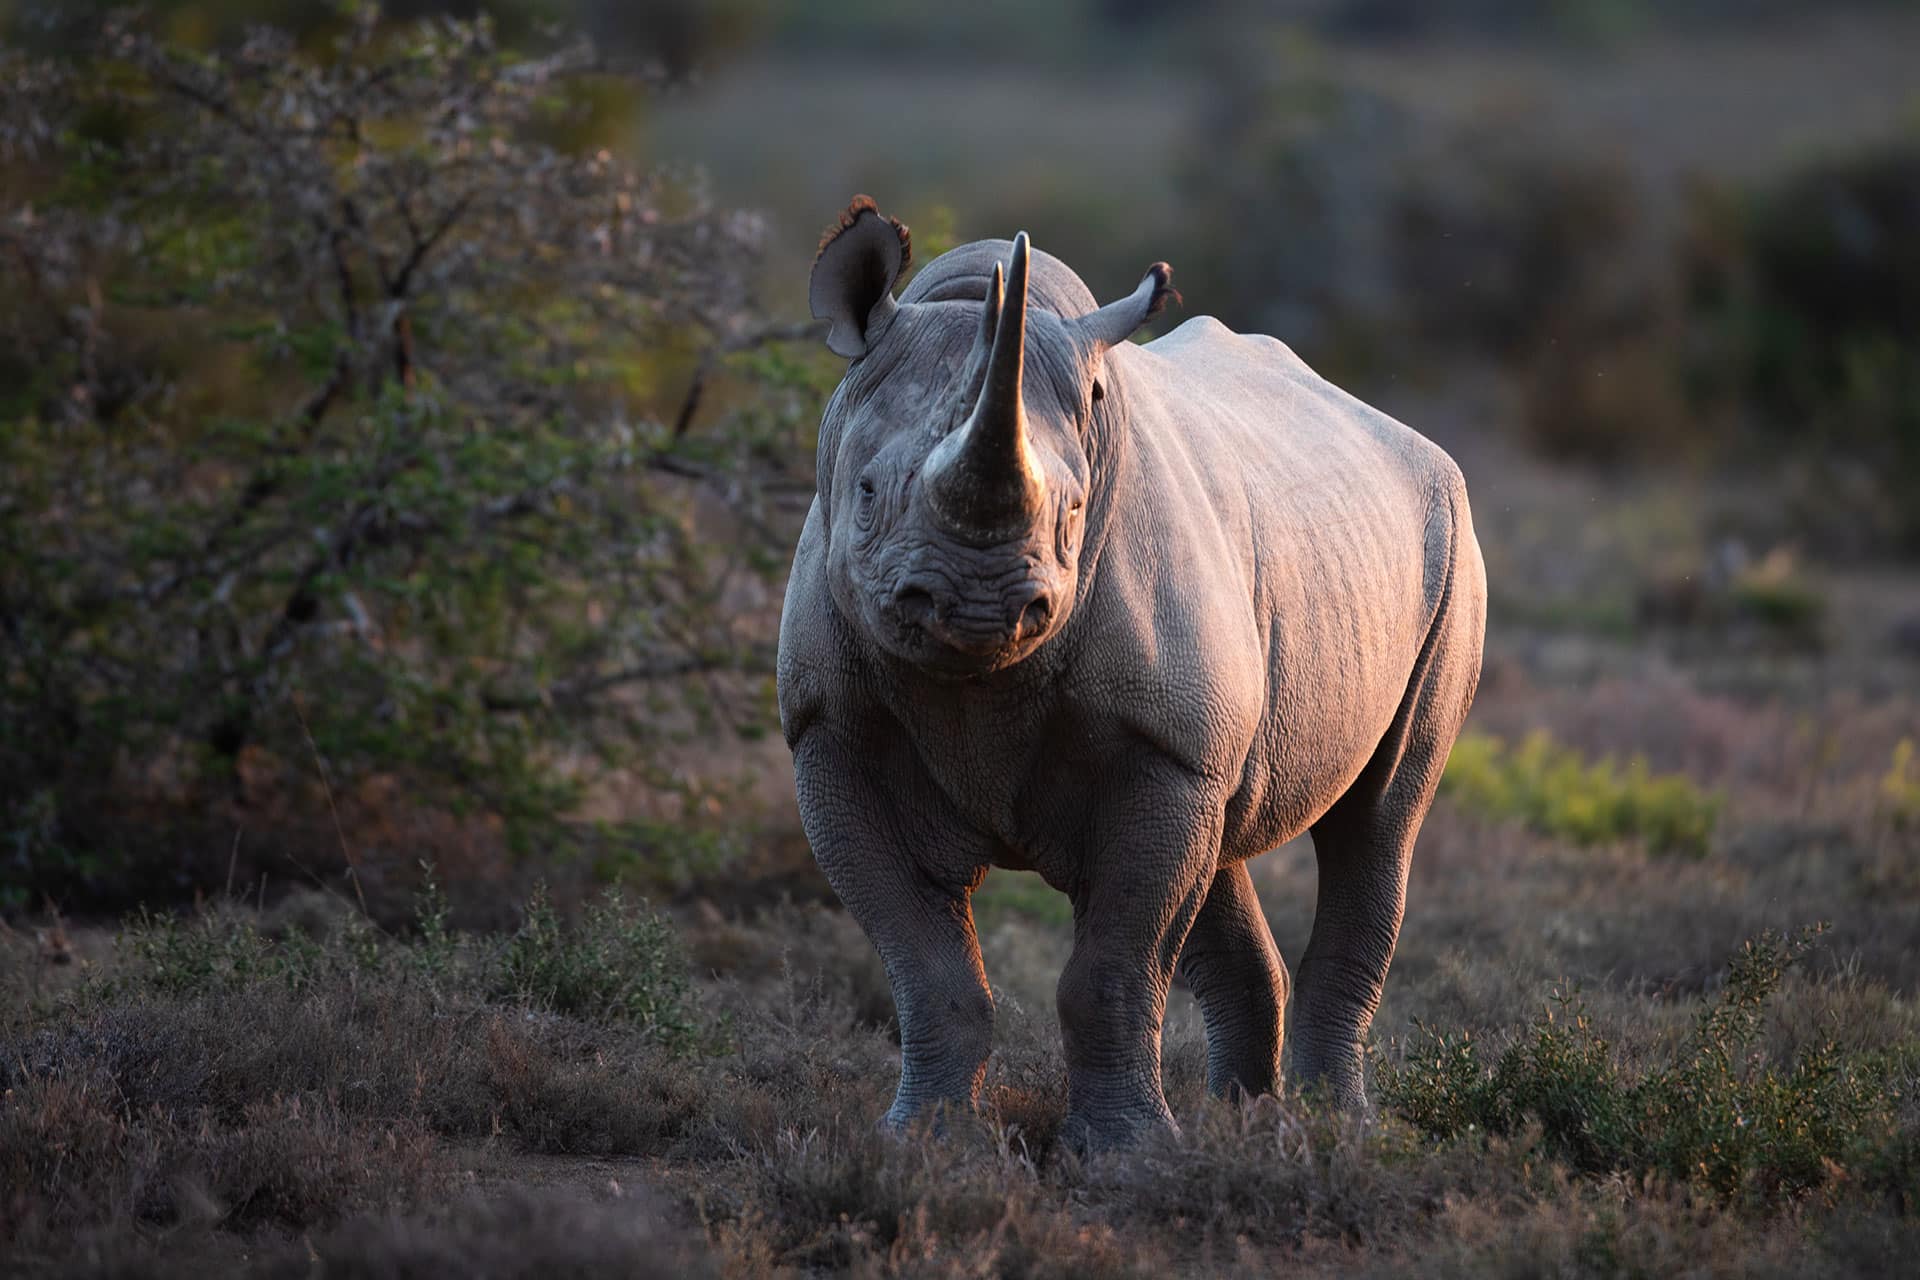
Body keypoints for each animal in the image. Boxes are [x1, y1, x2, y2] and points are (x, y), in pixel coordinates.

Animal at [777, 197, 1486, 1151]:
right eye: (864, 493)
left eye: (1074, 511)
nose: (979, 607)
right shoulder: (832, 735)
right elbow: (927, 969)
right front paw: (923, 1144)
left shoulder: (1161, 749)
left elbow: (1115, 966)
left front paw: (1127, 1160)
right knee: (1226, 832)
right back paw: (1248, 1127)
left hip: (1449, 537)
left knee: (1377, 823)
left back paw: (1333, 1132)